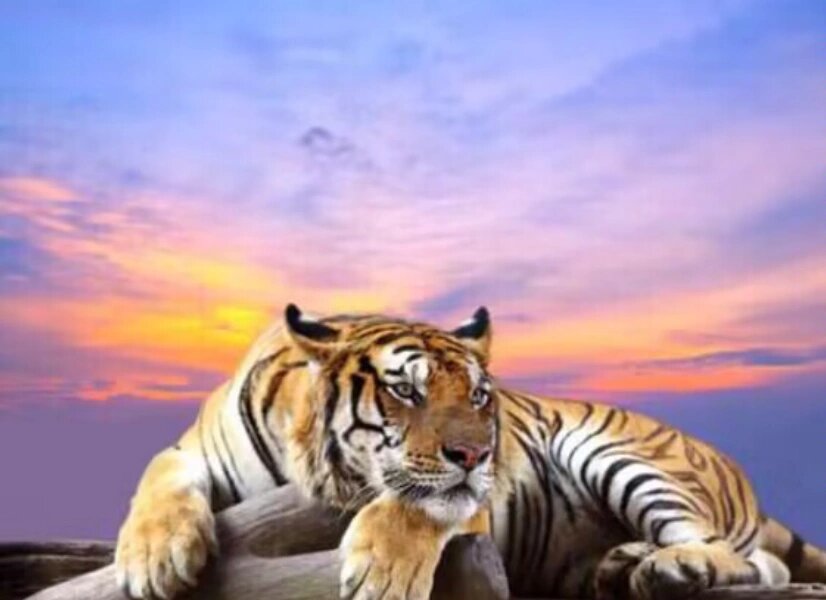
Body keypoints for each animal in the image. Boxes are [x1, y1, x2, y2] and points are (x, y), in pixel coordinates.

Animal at [115, 304, 826, 600]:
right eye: (405, 389)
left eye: (481, 395)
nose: (481, 456)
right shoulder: (192, 450)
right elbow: (159, 473)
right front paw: (154, 559)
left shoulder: (458, 496)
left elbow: (416, 504)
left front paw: (383, 576)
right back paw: (625, 562)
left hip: (619, 453)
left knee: (742, 556)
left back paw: (671, 567)